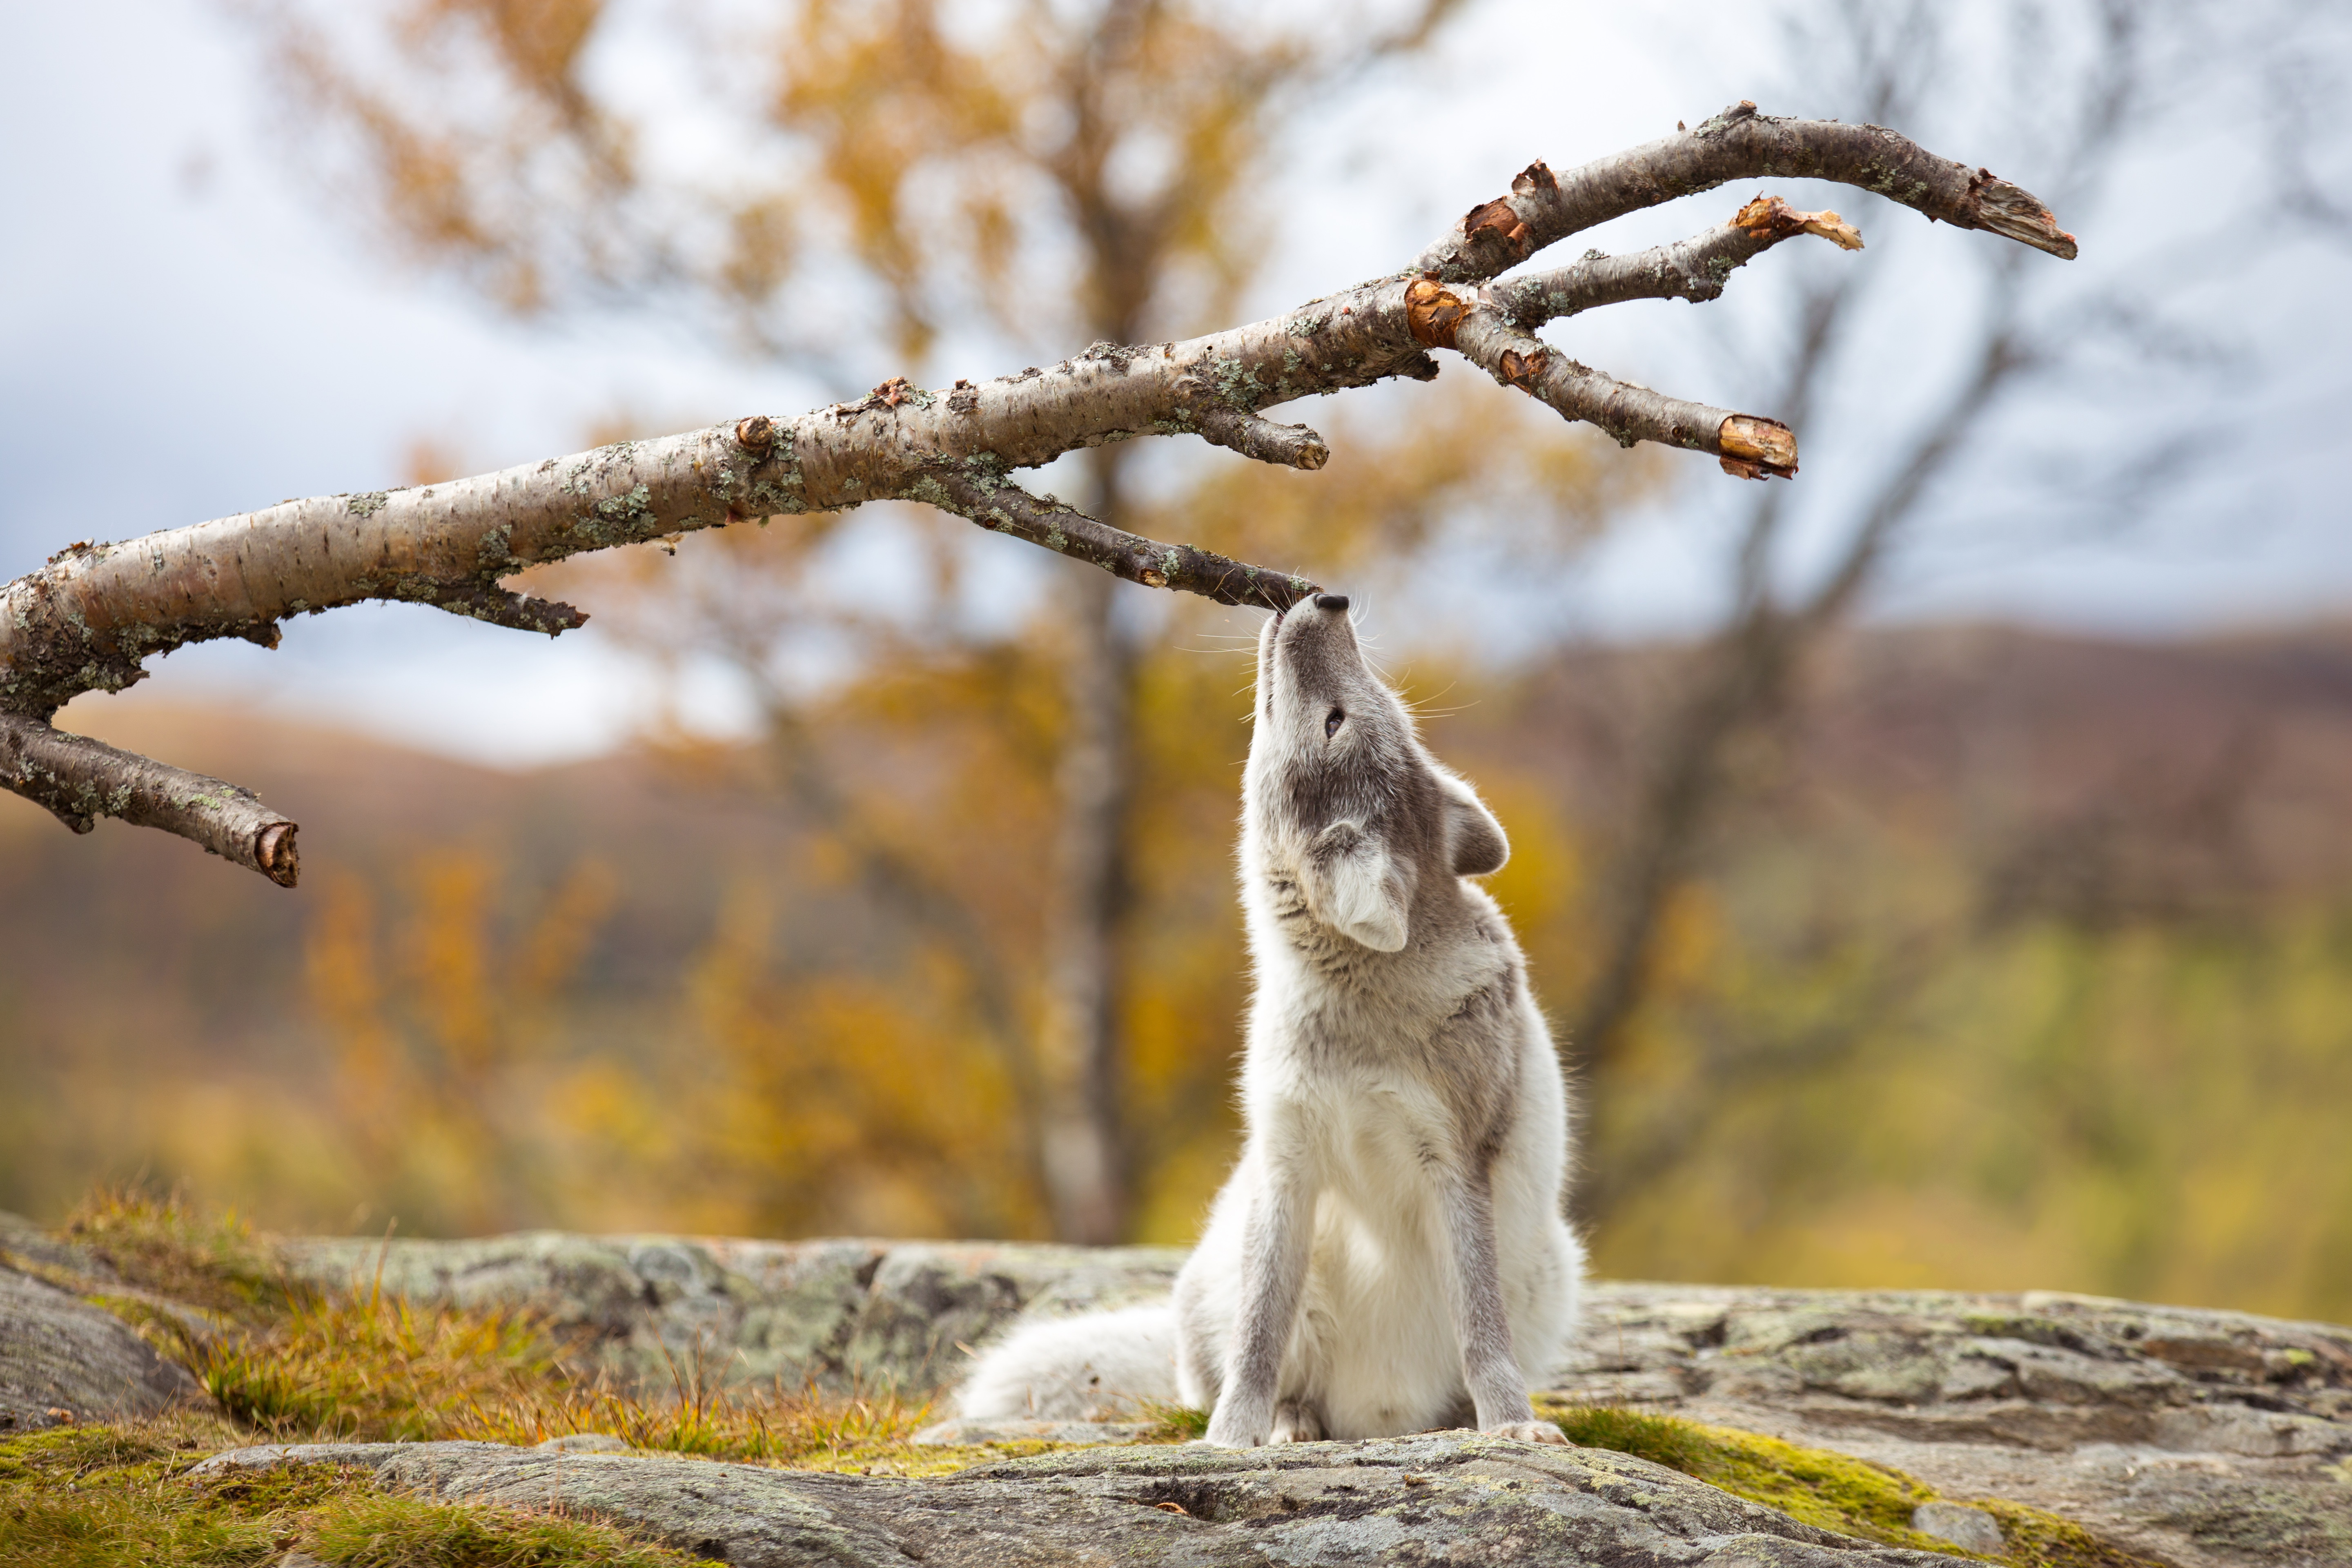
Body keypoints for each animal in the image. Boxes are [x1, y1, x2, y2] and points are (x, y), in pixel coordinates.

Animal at [955, 597, 1580, 1448]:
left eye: (1340, 719)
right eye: (1364, 714)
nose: (1329, 599)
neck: (1352, 1016)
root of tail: (1378, 1417)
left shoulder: (1457, 1162)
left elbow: (1483, 1332)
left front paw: (1511, 1426)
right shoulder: (1286, 1159)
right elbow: (1258, 1338)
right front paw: (1229, 1440)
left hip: (1557, 1267)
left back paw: (1451, 1421)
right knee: (1272, 1372)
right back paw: (1290, 1426)